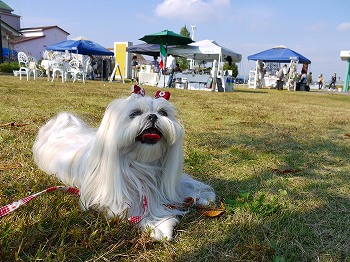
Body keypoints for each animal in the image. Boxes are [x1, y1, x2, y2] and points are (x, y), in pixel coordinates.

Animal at [32, 87, 215, 241]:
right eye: (134, 113)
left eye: (163, 112)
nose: (153, 116)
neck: (142, 164)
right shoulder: (116, 199)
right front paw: (159, 225)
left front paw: (201, 196)